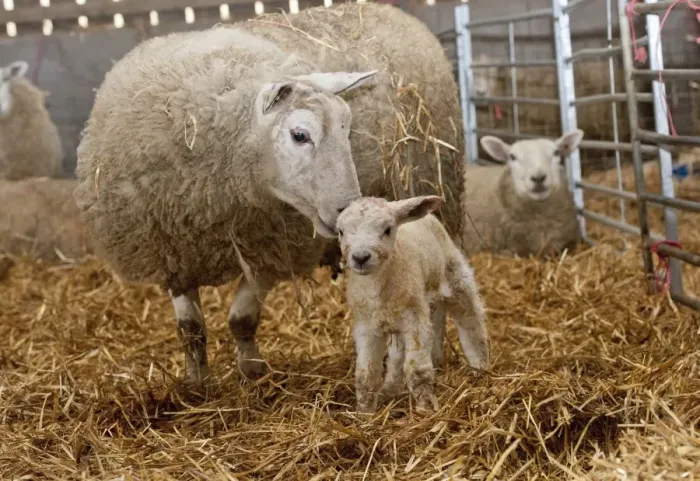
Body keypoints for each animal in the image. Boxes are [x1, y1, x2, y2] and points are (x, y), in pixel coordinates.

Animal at [75, 3, 467, 387]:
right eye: (299, 135)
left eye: (348, 128)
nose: (347, 210)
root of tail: (398, 15)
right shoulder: (173, 249)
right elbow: (190, 329)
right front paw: (198, 384)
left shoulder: (272, 249)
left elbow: (241, 319)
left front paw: (253, 375)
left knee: (435, 298)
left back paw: (432, 354)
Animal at [336, 196, 489, 413]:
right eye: (341, 231)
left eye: (387, 229)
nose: (360, 257)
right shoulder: (366, 327)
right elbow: (366, 375)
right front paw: (365, 414)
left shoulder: (415, 321)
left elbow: (417, 370)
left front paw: (426, 409)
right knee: (398, 357)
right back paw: (390, 390)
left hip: (455, 277)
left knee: (470, 320)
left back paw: (479, 366)